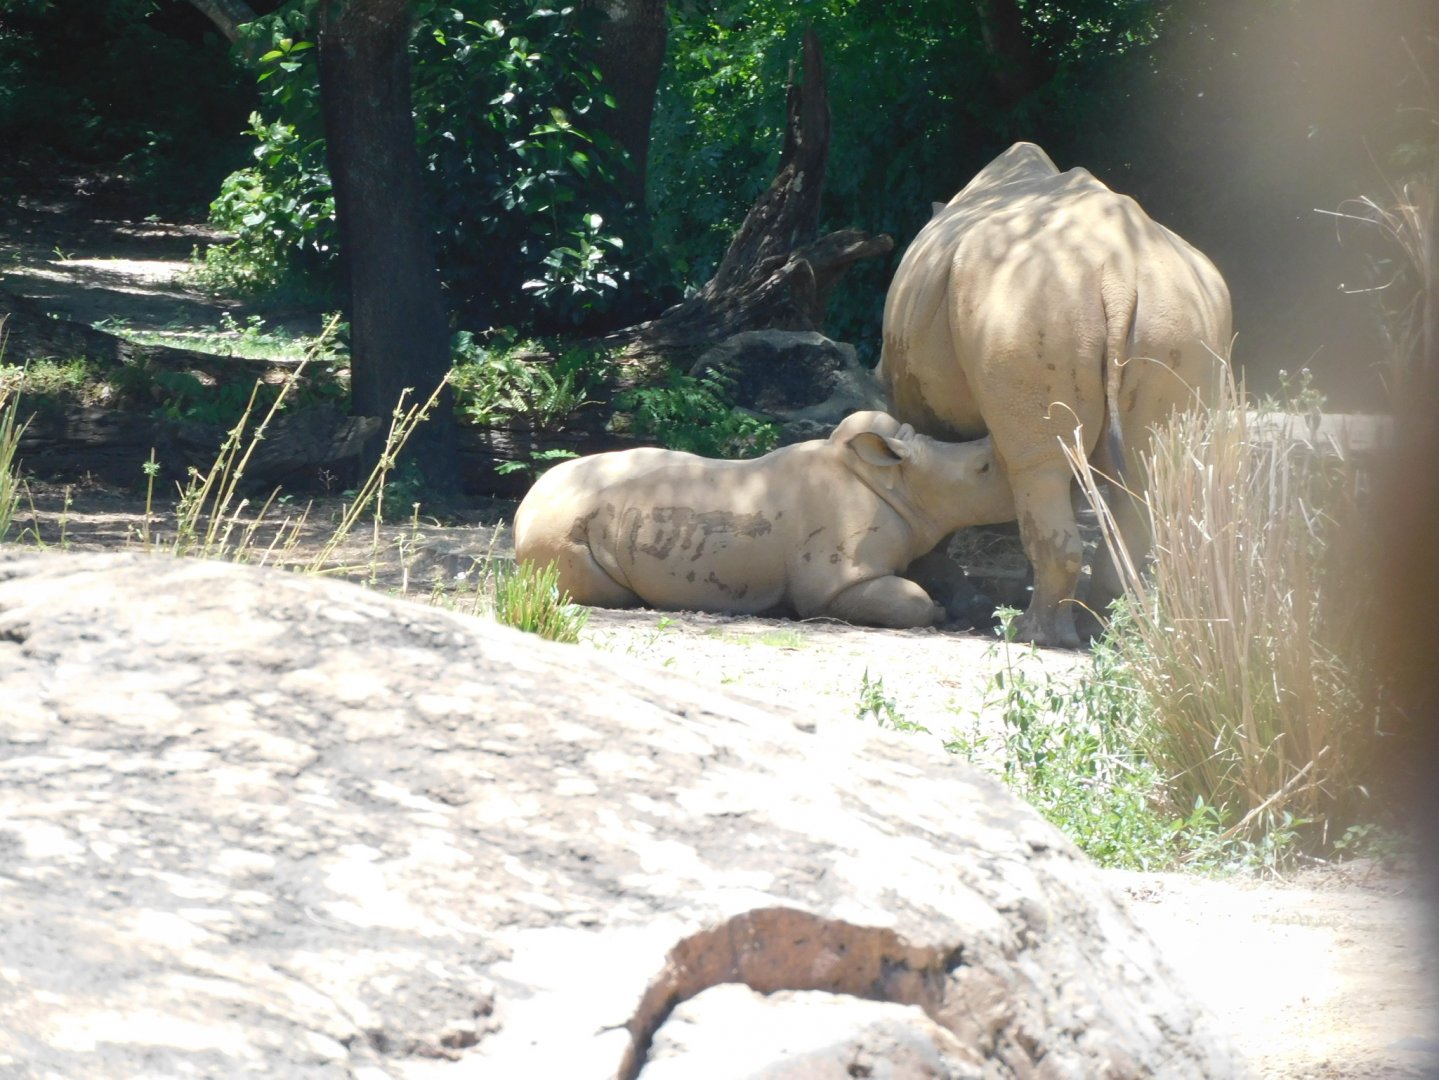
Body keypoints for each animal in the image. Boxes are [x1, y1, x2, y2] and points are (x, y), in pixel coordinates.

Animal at [511, 411, 1014, 629]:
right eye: (983, 469)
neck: (904, 483)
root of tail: (521, 509)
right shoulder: (839, 583)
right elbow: (909, 599)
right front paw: (942, 613)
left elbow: (939, 571)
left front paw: (975, 608)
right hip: (560, 531)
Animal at [879, 141, 1233, 647]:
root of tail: (1120, 274)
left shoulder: (913, 391)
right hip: (1177, 317)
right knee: (1136, 471)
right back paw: (1101, 631)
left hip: (1029, 301)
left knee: (1038, 467)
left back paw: (1033, 633)